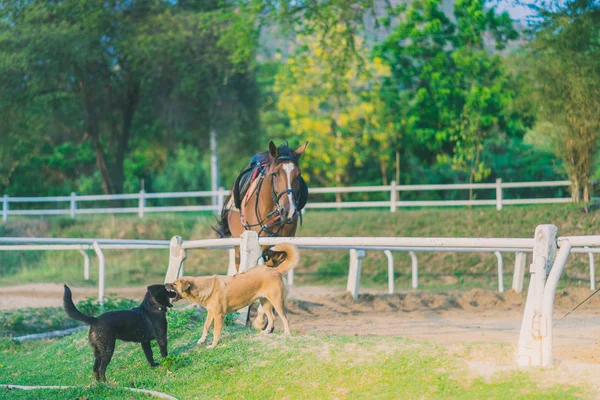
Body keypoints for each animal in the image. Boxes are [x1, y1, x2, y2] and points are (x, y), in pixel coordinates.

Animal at [165, 242, 298, 348]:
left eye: (174, 284)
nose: (165, 284)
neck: (205, 287)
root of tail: (275, 270)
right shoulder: (210, 313)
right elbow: (205, 327)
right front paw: (202, 340)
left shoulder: (219, 316)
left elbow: (216, 332)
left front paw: (213, 345)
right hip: (265, 302)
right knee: (272, 318)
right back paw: (266, 332)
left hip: (277, 302)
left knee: (284, 318)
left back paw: (287, 333)